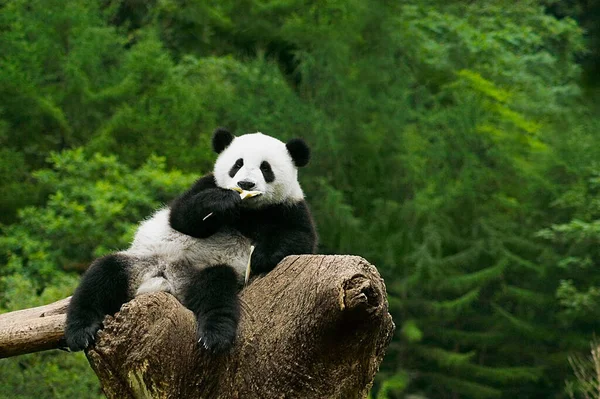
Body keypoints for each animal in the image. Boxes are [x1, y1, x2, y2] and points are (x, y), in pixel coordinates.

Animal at [64, 128, 318, 354]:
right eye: (237, 164)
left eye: (266, 168)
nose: (245, 184)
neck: (248, 210)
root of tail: (165, 280)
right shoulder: (205, 185)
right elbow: (181, 216)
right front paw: (221, 202)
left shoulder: (288, 207)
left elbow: (300, 238)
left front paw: (260, 256)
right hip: (140, 262)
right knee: (101, 276)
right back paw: (81, 331)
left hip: (203, 272)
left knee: (215, 290)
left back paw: (214, 335)